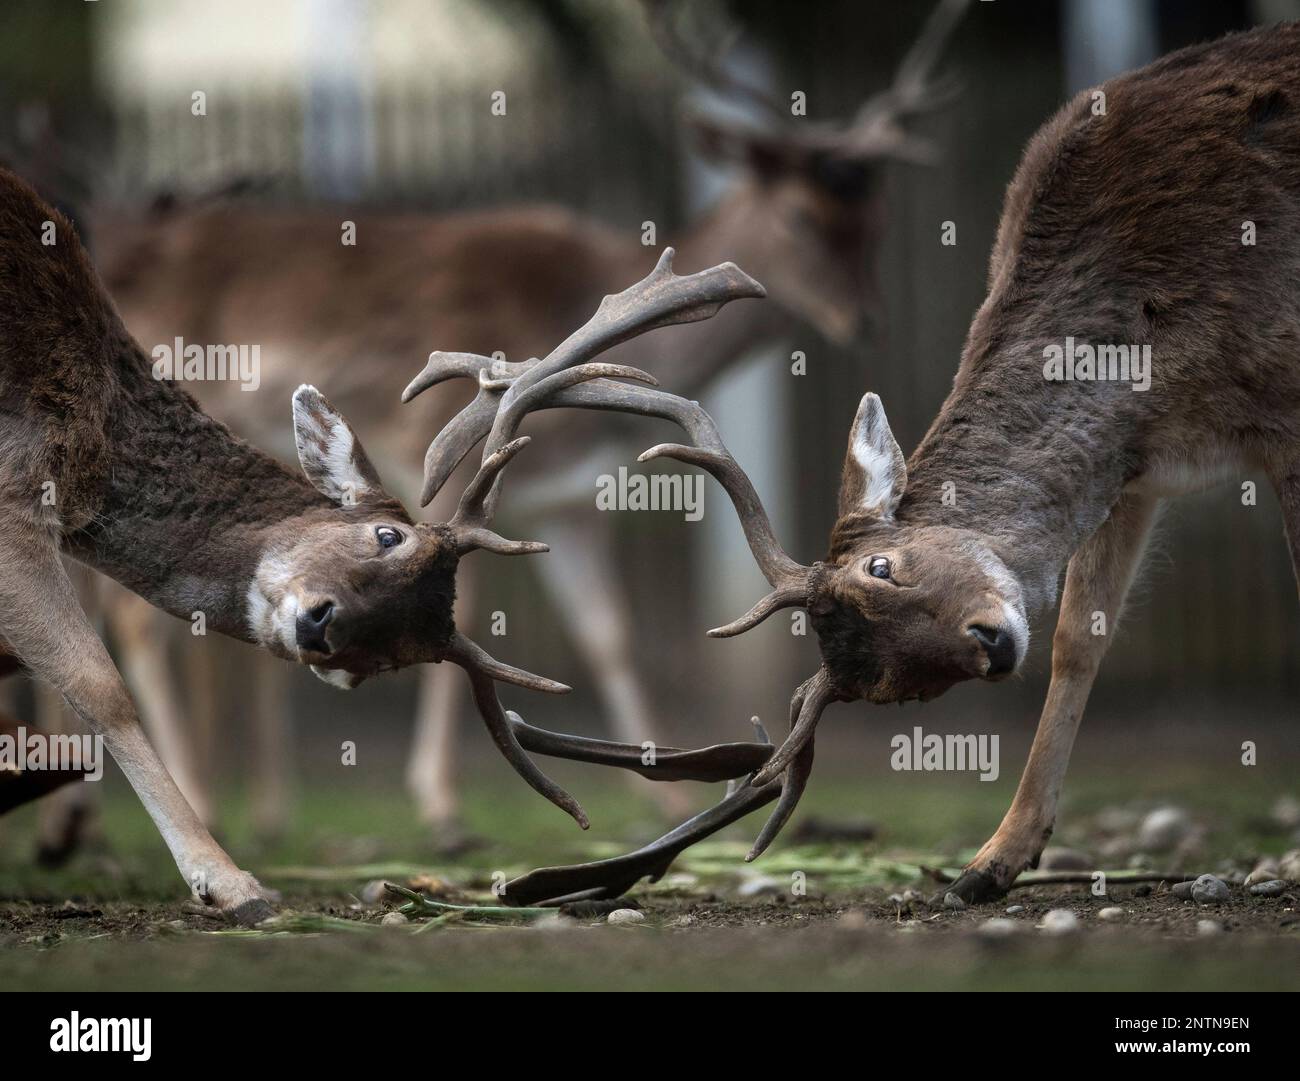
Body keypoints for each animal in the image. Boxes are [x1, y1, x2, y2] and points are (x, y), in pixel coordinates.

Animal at [0, 163, 793, 921]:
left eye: (383, 659)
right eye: (386, 533)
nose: (317, 625)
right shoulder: (15, 493)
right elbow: (100, 686)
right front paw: (231, 883)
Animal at [74, 0, 968, 847]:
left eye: (877, 220)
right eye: (798, 219)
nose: (864, 320)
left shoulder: (567, 499)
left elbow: (608, 631)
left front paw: (668, 792)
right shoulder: (430, 455)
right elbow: (460, 613)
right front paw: (441, 805)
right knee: (133, 609)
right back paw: (193, 803)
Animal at [478, 19, 1300, 906]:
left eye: (883, 565)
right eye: (896, 687)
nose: (993, 642)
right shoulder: (1138, 470)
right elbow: (1080, 637)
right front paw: (990, 862)